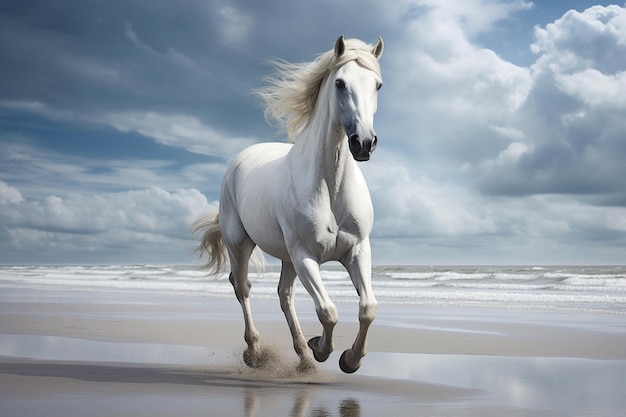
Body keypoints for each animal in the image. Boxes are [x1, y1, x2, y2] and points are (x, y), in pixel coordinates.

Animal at [193, 36, 382, 374]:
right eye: (340, 83)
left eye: (378, 85)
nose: (363, 143)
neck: (329, 186)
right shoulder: (305, 255)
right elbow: (327, 311)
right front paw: (321, 348)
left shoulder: (357, 250)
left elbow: (368, 308)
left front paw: (349, 360)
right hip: (241, 244)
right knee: (242, 287)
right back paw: (256, 352)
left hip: (286, 258)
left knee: (284, 295)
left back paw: (302, 356)